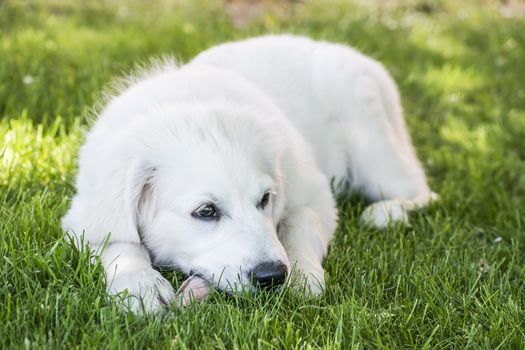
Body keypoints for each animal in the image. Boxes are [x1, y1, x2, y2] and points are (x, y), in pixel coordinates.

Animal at [61, 34, 436, 314]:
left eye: (265, 199)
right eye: (206, 211)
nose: (272, 276)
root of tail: (361, 59)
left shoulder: (316, 195)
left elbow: (300, 223)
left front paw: (303, 275)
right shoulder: (85, 216)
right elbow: (118, 242)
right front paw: (140, 286)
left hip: (374, 150)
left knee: (423, 191)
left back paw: (386, 212)